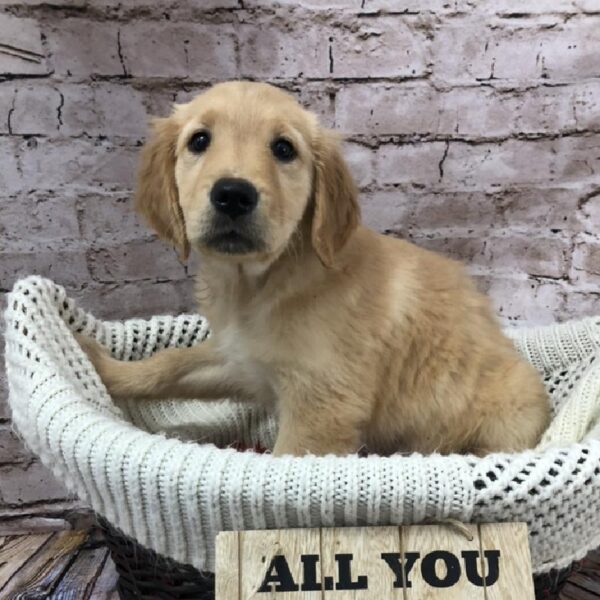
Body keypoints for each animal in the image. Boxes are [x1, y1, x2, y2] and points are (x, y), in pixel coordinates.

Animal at [78, 79, 548, 454]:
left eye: (284, 149)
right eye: (198, 141)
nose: (233, 194)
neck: (262, 282)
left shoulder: (321, 407)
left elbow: (283, 470)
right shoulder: (240, 359)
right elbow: (169, 364)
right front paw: (102, 364)